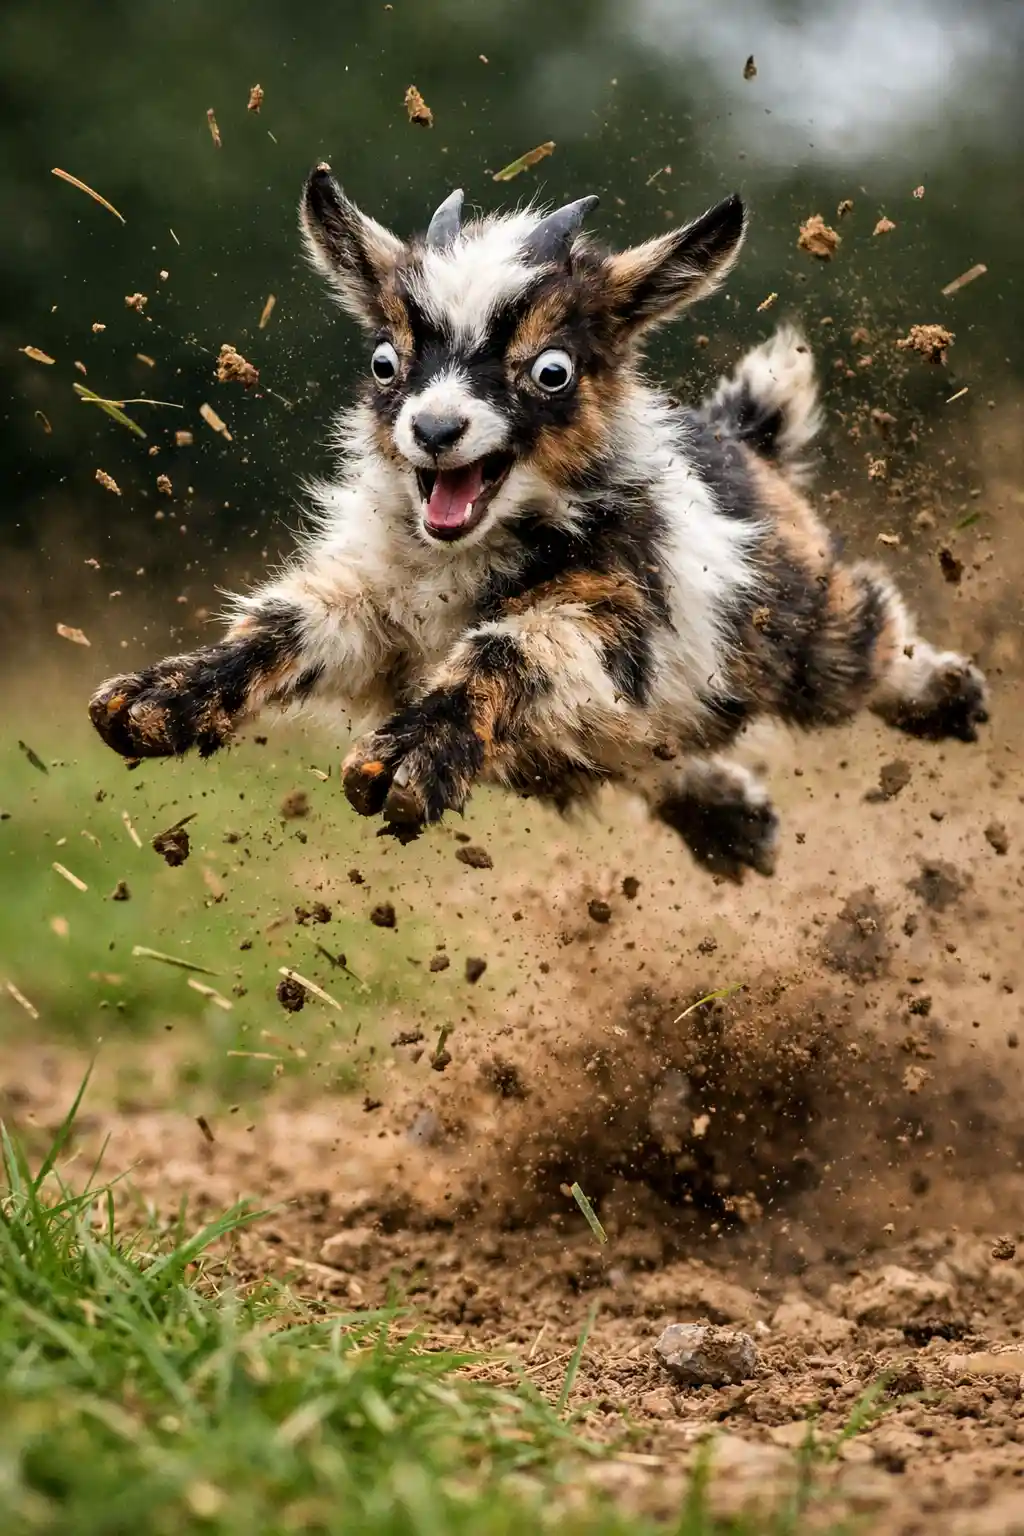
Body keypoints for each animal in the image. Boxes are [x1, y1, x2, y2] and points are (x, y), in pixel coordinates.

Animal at [89, 166, 988, 878]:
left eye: (551, 372)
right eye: (385, 361)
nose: (436, 429)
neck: (468, 551)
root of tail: (745, 437)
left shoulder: (611, 614)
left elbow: (512, 649)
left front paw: (406, 760)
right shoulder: (379, 608)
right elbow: (285, 625)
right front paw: (159, 699)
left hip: (799, 632)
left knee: (863, 636)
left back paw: (947, 696)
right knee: (637, 753)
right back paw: (730, 820)